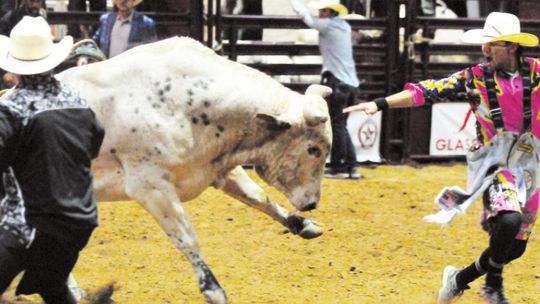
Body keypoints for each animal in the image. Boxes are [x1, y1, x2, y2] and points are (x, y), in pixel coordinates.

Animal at [57, 36, 332, 304]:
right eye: (313, 149)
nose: (312, 203)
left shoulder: (219, 169)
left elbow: (258, 196)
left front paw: (303, 224)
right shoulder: (150, 186)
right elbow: (186, 236)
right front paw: (213, 290)